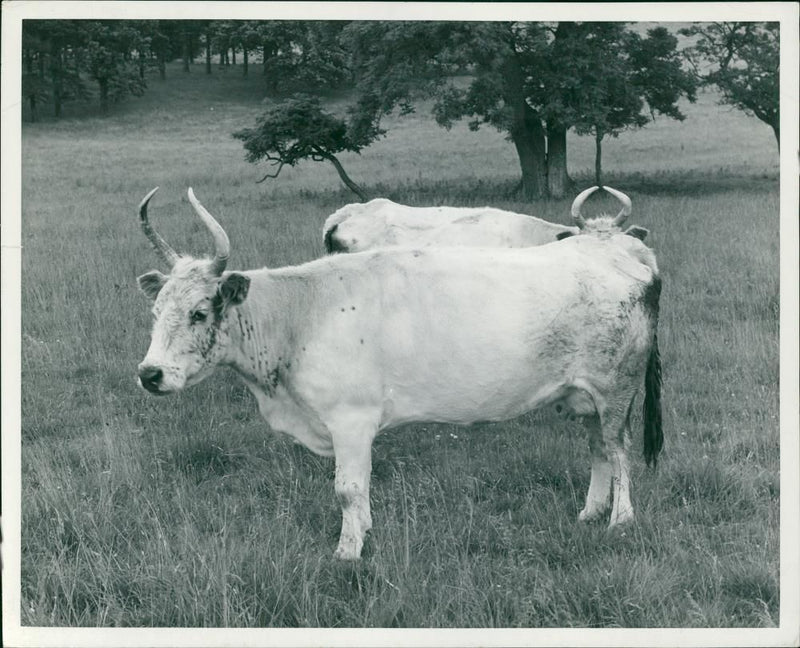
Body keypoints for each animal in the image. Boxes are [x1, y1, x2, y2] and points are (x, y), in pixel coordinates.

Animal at [136, 189, 664, 560]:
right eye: (157, 310)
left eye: (200, 312)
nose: (150, 374)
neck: (300, 313)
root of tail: (622, 259)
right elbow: (360, 490)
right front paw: (363, 532)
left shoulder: (350, 420)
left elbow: (347, 489)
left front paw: (348, 552)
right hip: (586, 395)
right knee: (598, 449)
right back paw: (590, 512)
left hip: (616, 389)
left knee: (617, 450)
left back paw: (620, 520)